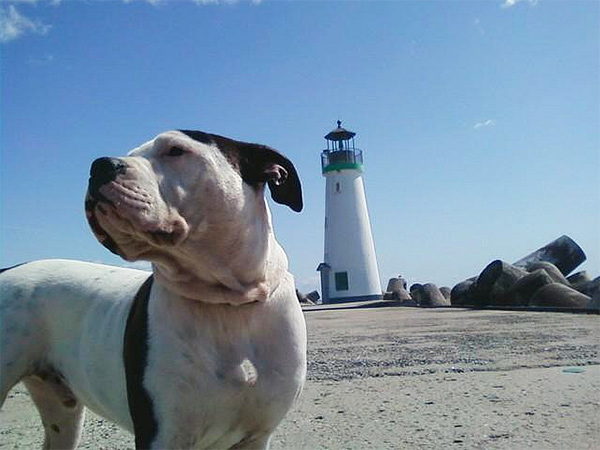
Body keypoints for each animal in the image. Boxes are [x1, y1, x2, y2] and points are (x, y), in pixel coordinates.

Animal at [0, 128, 308, 448]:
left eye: (175, 150)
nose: (99, 166)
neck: (228, 303)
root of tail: (9, 269)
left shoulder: (257, 436)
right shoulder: (162, 433)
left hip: (63, 410)